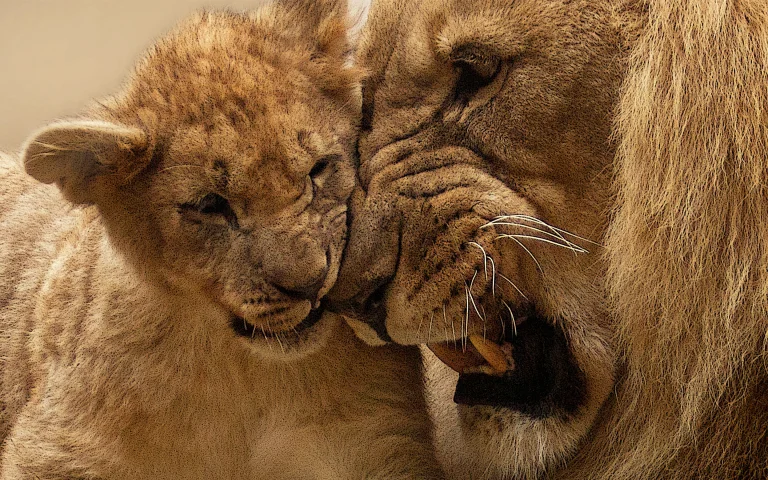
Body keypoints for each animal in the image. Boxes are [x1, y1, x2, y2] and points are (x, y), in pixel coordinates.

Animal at [0, 1, 442, 478]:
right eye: (210, 205)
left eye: (319, 169)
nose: (310, 284)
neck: (246, 374)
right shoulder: (58, 450)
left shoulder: (377, 442)